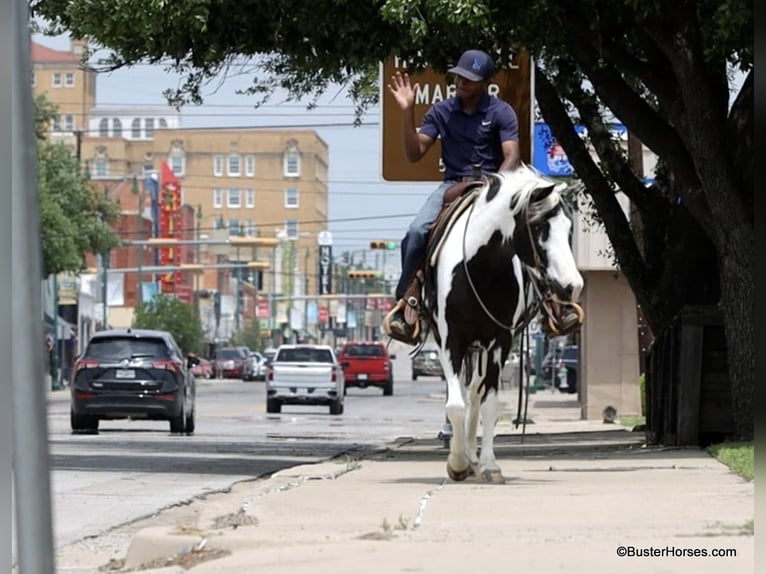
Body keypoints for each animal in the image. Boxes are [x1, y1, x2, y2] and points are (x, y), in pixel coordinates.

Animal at [420, 164, 585, 483]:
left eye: (569, 229)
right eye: (540, 228)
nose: (573, 286)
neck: (480, 268)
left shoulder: (500, 341)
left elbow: (489, 403)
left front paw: (488, 465)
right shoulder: (450, 340)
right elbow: (455, 405)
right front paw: (457, 464)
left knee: (475, 391)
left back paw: (473, 456)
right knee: (466, 392)